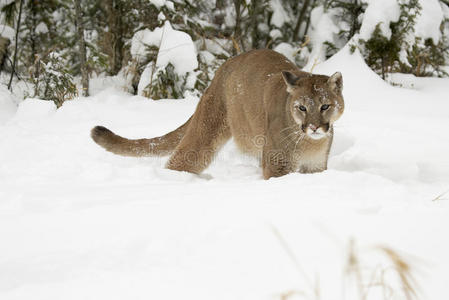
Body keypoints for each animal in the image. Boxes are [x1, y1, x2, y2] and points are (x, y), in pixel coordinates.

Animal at [91, 49, 344, 178]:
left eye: (325, 106)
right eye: (302, 107)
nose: (314, 127)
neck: (310, 143)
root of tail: (224, 66)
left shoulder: (315, 167)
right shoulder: (277, 166)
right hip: (206, 132)